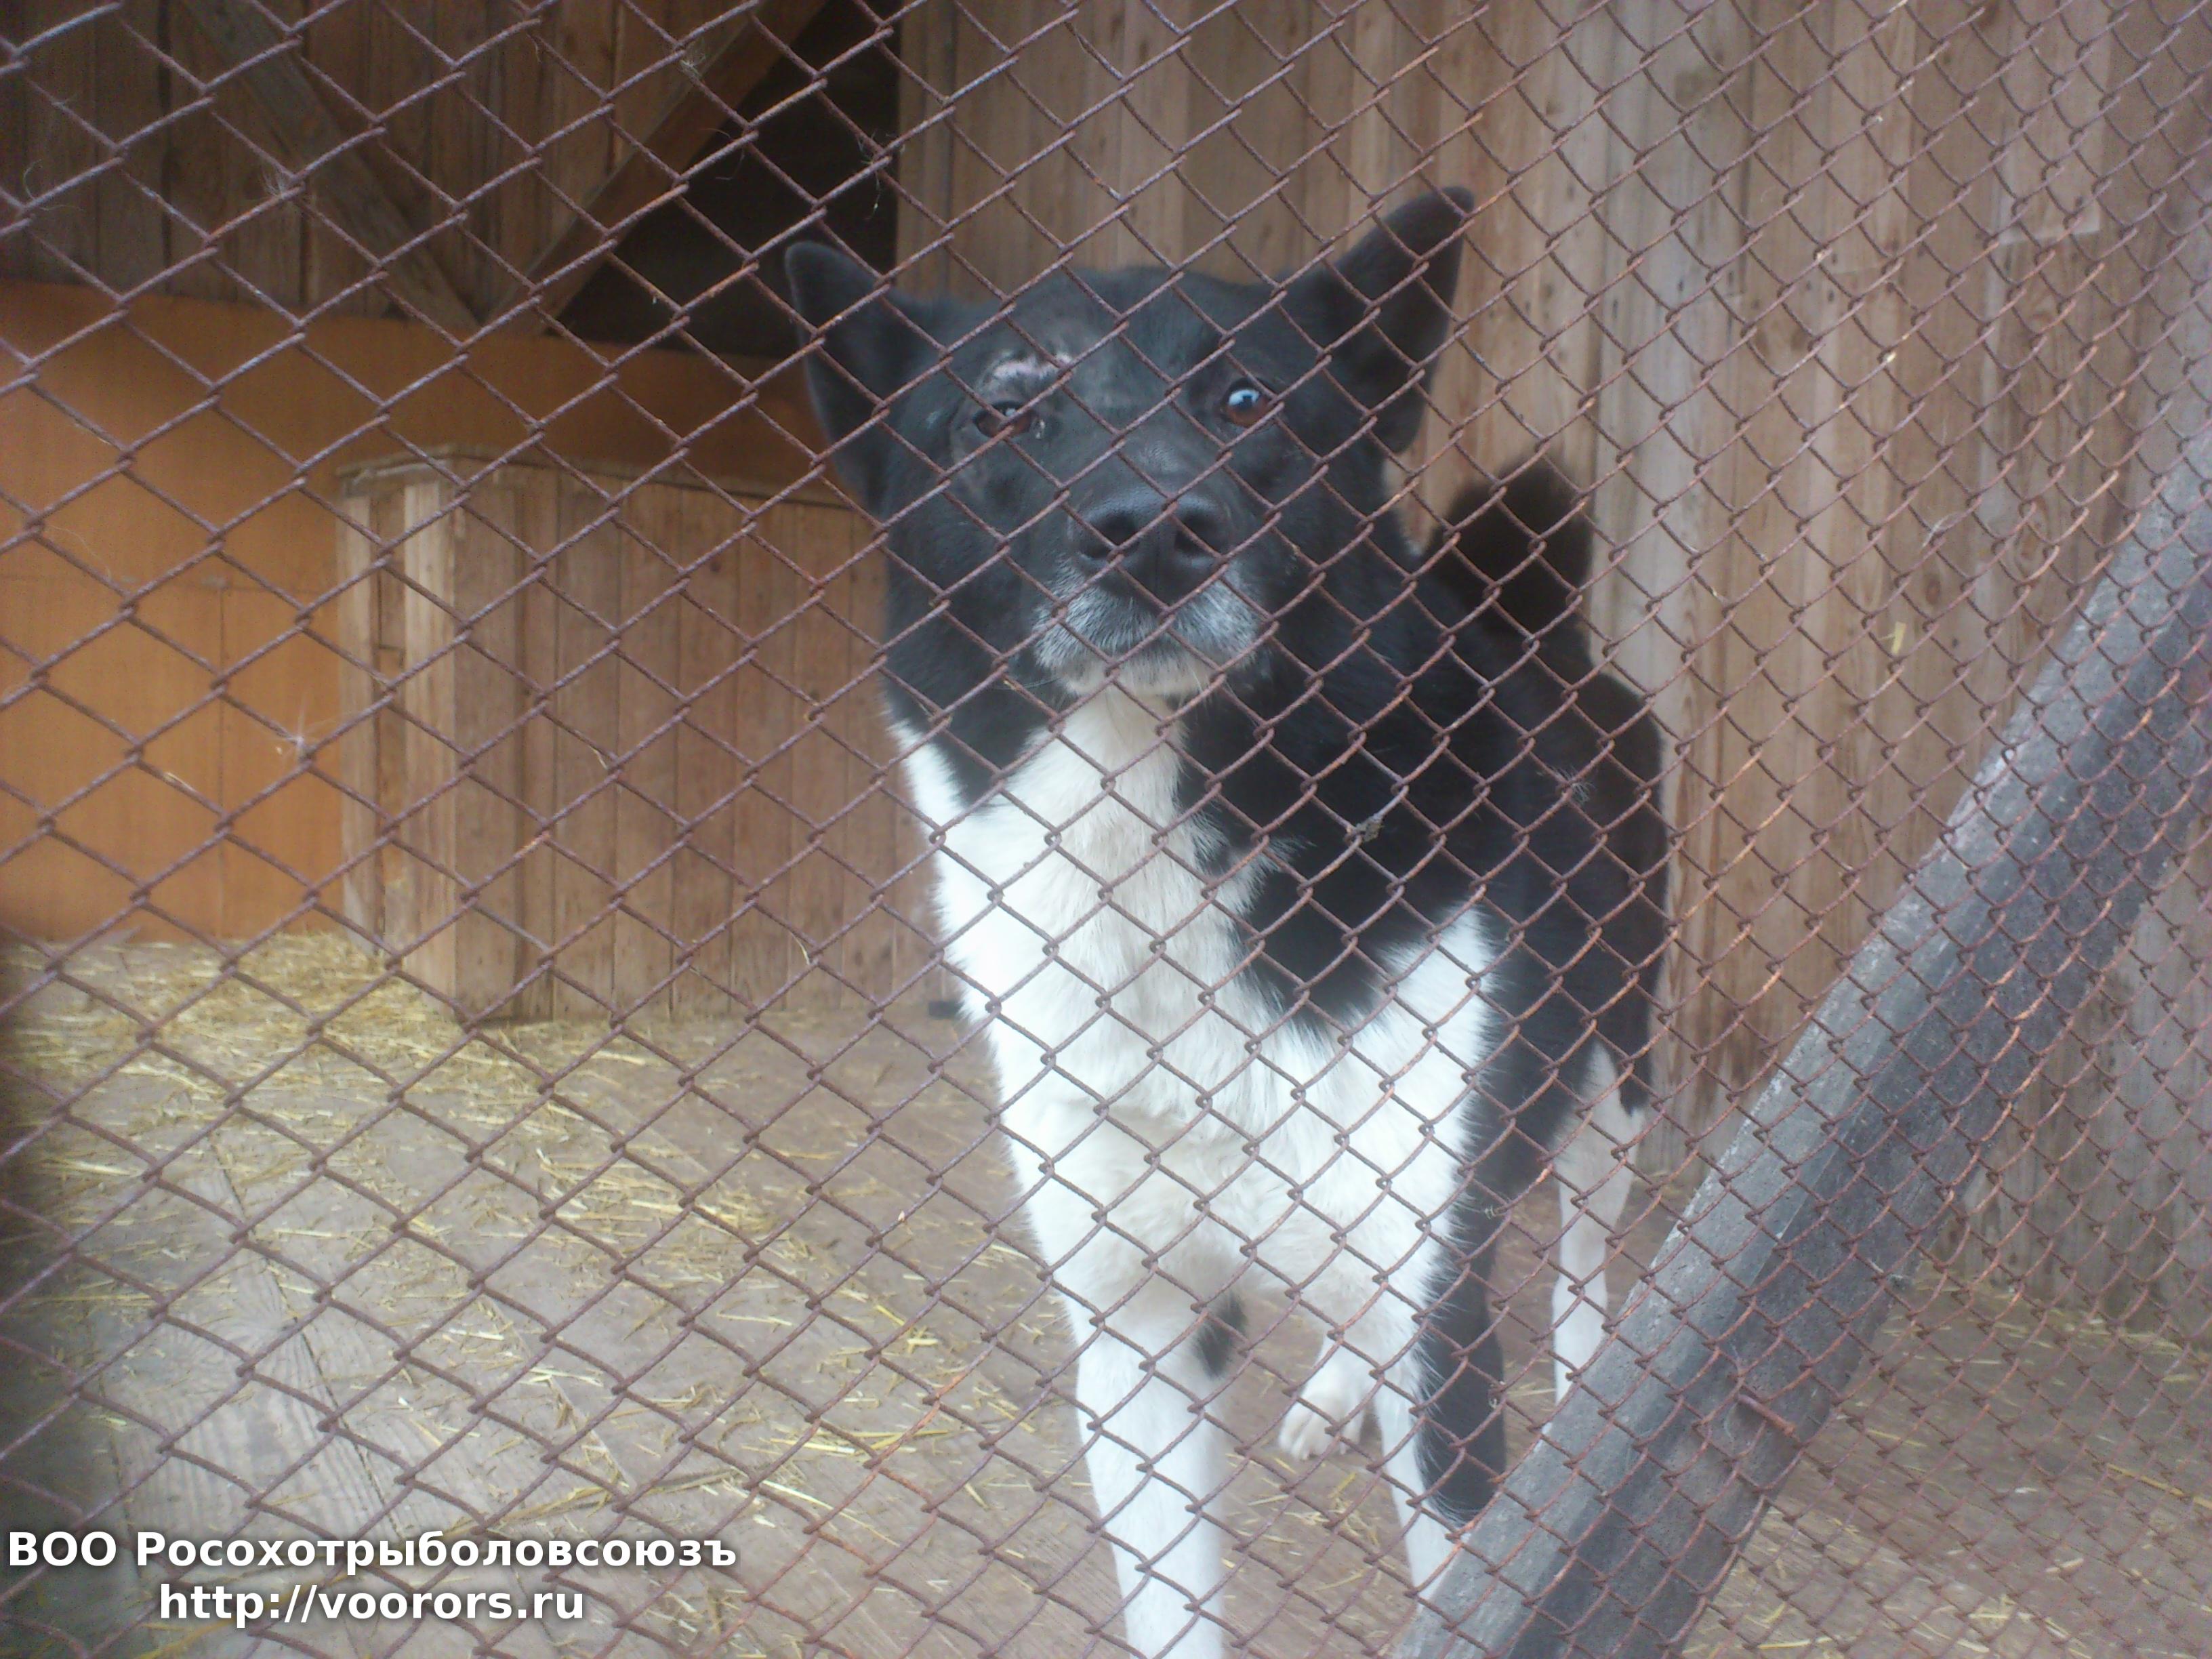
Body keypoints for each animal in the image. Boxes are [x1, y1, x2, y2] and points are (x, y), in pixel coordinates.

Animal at [786, 190, 1669, 1658]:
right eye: (1003, 414)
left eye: (1247, 397)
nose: (1152, 531)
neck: (1157, 855)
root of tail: (1544, 638)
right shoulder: (1136, 1327)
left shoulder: (1437, 1321)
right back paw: (1330, 1394)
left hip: (1616, 1068)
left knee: (1588, 1240)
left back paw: (1583, 1368)